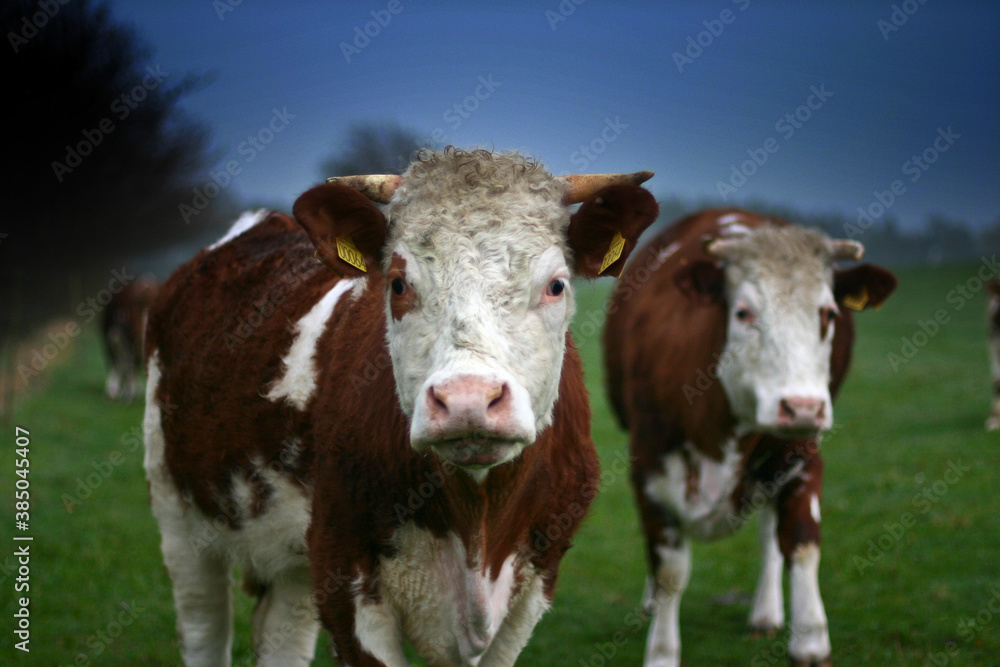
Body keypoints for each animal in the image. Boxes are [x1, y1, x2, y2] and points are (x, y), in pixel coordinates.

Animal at [141, 150, 656, 667]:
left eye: (556, 285)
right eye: (397, 284)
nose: (467, 399)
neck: (477, 528)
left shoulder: (534, 584)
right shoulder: (342, 573)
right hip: (178, 515)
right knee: (203, 625)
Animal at [600, 210, 900, 667]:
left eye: (828, 314)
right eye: (742, 313)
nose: (803, 406)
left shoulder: (801, 455)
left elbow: (801, 541)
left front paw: (811, 639)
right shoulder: (648, 471)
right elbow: (670, 571)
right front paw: (662, 650)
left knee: (769, 530)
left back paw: (766, 612)